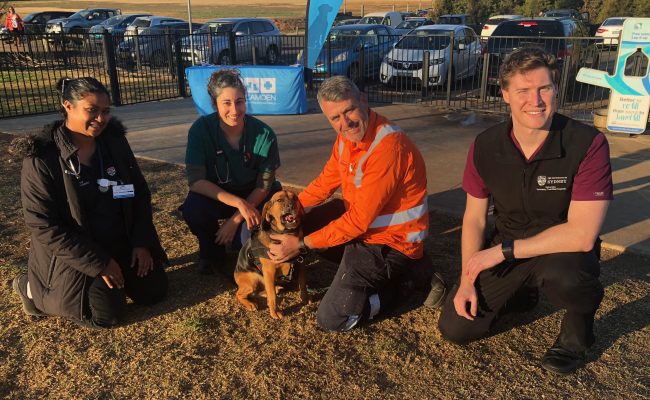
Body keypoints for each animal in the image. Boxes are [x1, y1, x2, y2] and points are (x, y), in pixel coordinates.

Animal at [233, 190, 306, 318]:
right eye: (279, 200)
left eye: (295, 199)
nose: (291, 206)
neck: (286, 233)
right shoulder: (269, 272)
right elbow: (272, 296)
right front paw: (274, 312)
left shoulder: (301, 263)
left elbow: (303, 283)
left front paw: (305, 299)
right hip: (253, 281)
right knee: (239, 294)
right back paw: (250, 304)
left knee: (262, 291)